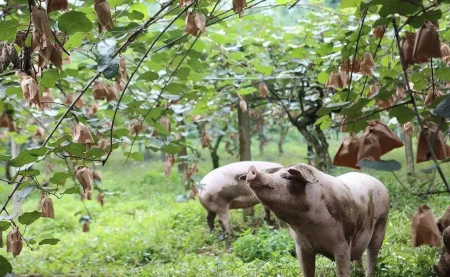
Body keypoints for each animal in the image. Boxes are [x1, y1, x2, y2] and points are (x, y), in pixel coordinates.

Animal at [239, 163, 390, 274]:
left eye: (288, 177)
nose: (252, 169)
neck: (307, 227)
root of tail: (379, 182)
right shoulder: (301, 246)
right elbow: (306, 270)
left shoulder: (343, 243)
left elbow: (341, 271)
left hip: (381, 224)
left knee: (372, 256)